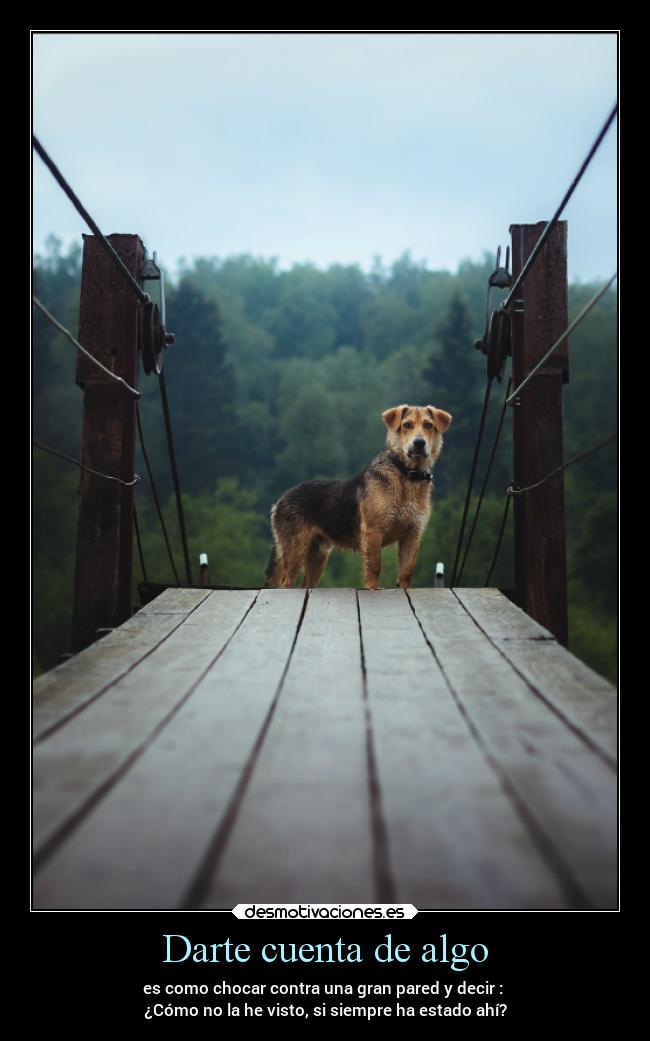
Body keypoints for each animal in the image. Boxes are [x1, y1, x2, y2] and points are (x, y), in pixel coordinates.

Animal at [264, 401, 452, 591]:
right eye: (407, 425)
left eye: (429, 425)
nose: (419, 443)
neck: (407, 474)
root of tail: (280, 500)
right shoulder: (373, 531)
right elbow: (375, 565)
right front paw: (372, 588)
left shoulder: (412, 534)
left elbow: (406, 571)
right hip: (295, 550)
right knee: (286, 583)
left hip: (317, 554)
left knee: (305, 584)